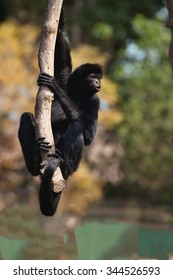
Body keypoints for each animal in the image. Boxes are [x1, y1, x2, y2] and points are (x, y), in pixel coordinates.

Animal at [18, 7, 102, 215]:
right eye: (93, 77)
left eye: (98, 77)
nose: (98, 82)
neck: (79, 93)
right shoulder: (66, 79)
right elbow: (61, 49)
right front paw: (60, 19)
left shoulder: (95, 101)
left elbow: (88, 135)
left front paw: (54, 86)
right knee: (25, 117)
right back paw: (35, 157)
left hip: (72, 167)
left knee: (78, 125)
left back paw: (61, 162)